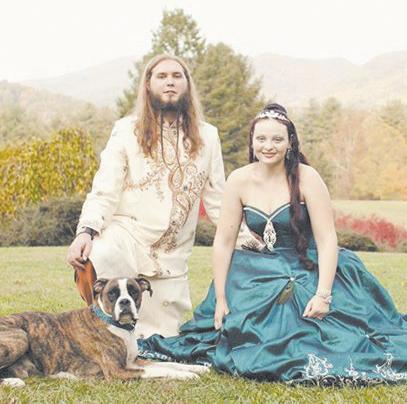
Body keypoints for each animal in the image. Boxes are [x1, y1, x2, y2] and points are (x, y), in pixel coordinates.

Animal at [0, 277, 209, 387]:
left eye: (133, 291)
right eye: (112, 293)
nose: (124, 302)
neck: (118, 326)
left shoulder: (133, 362)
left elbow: (169, 363)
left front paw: (196, 368)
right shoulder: (118, 371)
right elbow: (161, 369)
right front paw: (186, 376)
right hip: (21, 336)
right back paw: (13, 382)